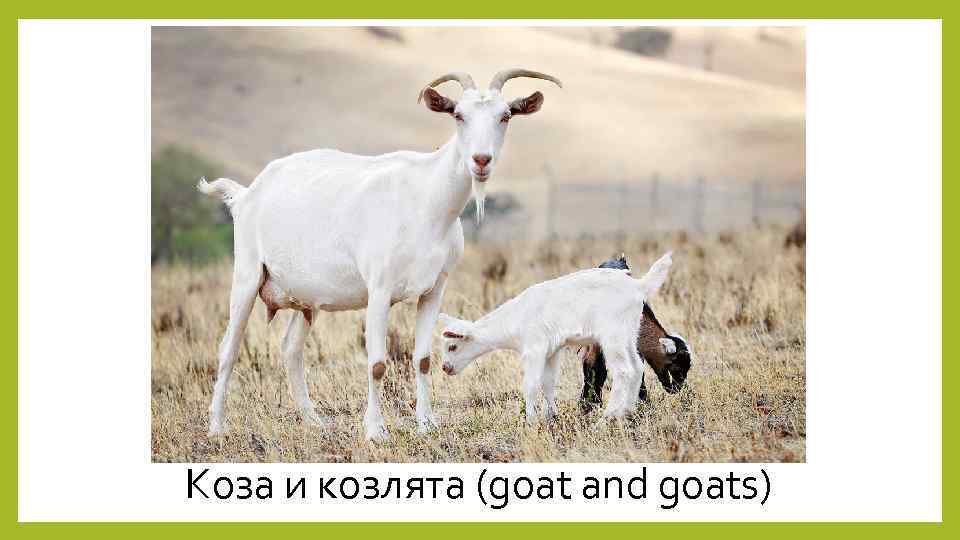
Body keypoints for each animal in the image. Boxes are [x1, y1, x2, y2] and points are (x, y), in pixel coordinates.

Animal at [198, 69, 562, 441]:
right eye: (458, 115)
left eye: (505, 116)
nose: (481, 160)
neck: (427, 201)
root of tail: (245, 194)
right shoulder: (379, 289)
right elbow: (376, 363)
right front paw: (375, 431)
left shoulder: (434, 289)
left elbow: (422, 359)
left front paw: (426, 423)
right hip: (247, 274)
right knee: (228, 349)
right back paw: (216, 427)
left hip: (307, 300)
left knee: (291, 349)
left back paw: (314, 421)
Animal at [439, 252, 673, 424]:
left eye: (452, 346)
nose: (445, 368)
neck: (515, 319)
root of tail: (638, 286)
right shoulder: (551, 352)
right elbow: (548, 383)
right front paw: (551, 416)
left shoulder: (534, 349)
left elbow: (530, 385)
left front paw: (531, 421)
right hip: (628, 333)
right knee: (637, 367)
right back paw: (628, 412)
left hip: (612, 336)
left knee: (624, 371)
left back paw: (607, 418)